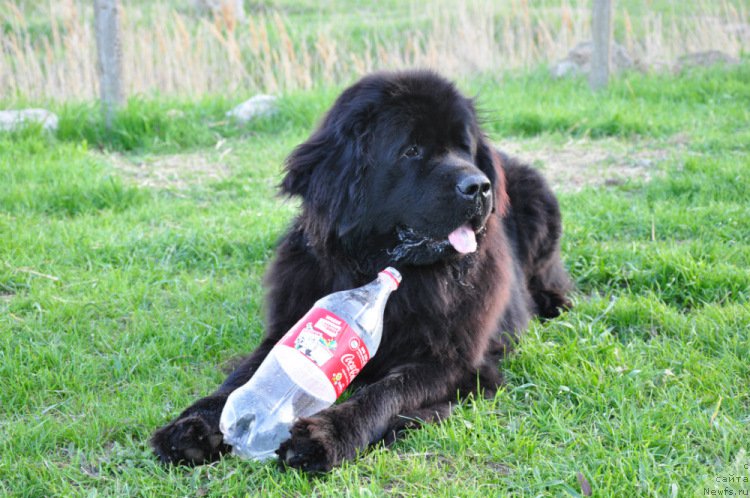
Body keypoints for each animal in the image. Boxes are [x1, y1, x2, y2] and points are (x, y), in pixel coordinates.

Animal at [151, 70, 568, 470]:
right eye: (411, 150)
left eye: (464, 148)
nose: (478, 186)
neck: (382, 275)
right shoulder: (287, 327)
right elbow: (245, 376)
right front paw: (192, 425)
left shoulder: (453, 362)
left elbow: (387, 392)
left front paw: (328, 435)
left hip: (542, 202)